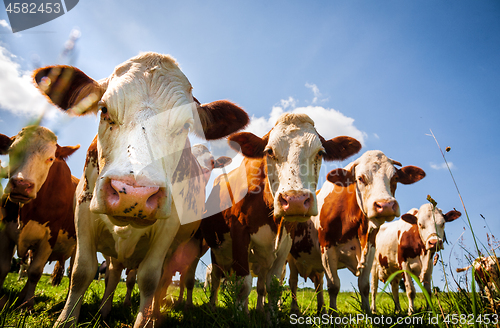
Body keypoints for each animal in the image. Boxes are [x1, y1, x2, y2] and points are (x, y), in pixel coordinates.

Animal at [0, 126, 79, 308]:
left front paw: (28, 305)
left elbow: (35, 272)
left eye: (50, 158)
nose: (22, 185)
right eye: (12, 152)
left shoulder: (50, 235)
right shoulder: (6, 231)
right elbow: (4, 268)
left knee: (72, 272)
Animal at [33, 52, 248, 326]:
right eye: (103, 109)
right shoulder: (83, 210)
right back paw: (105, 310)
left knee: (163, 279)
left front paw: (145, 320)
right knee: (114, 272)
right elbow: (82, 271)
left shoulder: (168, 227)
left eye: (187, 126)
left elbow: (149, 279)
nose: (134, 194)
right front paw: (66, 320)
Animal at [199, 114, 360, 312]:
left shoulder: (285, 242)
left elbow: (272, 285)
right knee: (215, 280)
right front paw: (238, 315)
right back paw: (213, 307)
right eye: (269, 151)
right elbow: (243, 285)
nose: (295, 200)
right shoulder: (239, 234)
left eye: (320, 153)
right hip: (217, 251)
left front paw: (270, 315)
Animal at [290, 150, 426, 314]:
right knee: (292, 282)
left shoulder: (370, 249)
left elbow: (364, 286)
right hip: (290, 258)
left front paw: (368, 312)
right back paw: (294, 309)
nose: (386, 205)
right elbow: (334, 285)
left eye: (395, 178)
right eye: (360, 178)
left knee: (318, 284)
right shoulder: (327, 249)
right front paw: (333, 314)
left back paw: (321, 309)